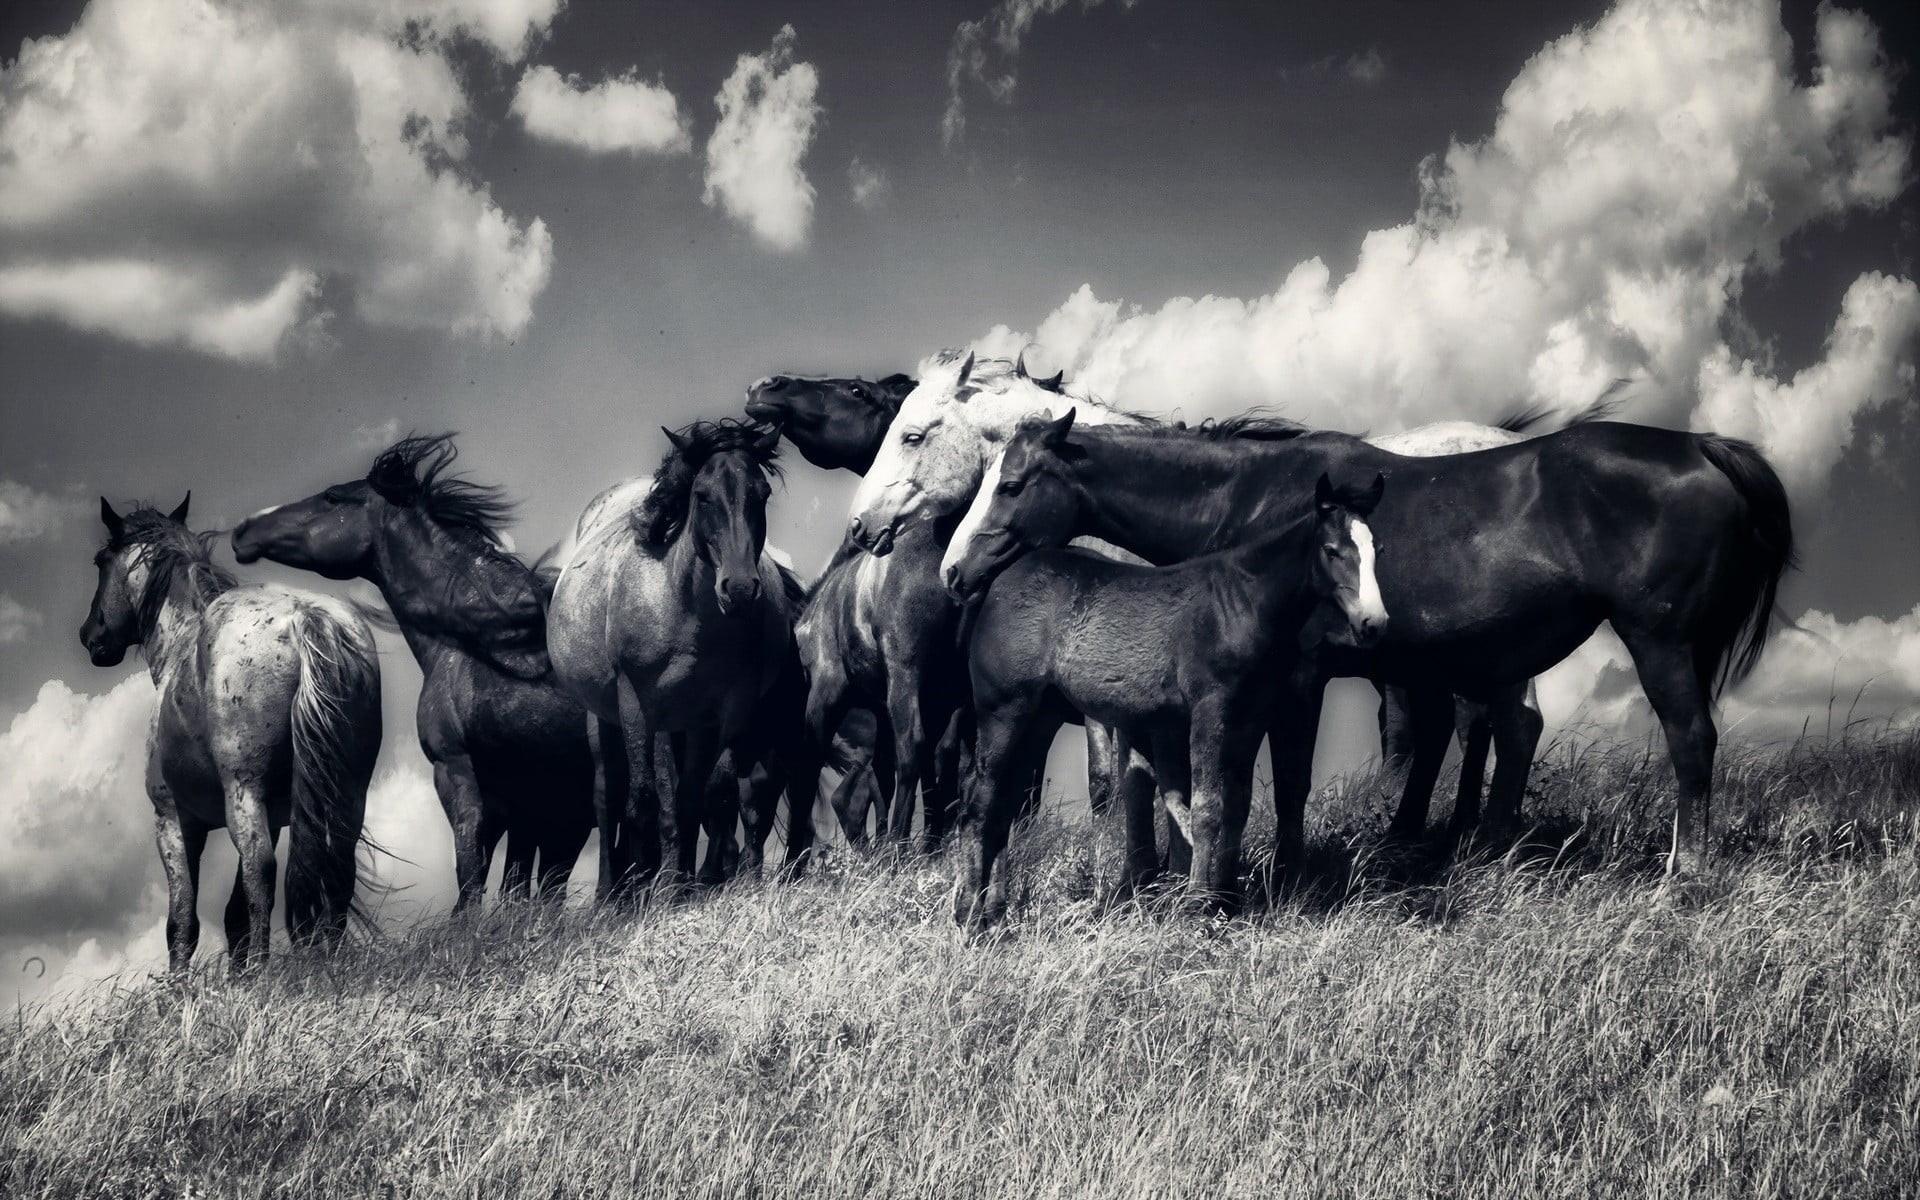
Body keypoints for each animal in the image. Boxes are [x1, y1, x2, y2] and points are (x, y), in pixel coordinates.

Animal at [83, 497, 382, 972]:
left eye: (100, 561)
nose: (90, 635)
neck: (179, 648)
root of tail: (306, 617)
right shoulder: (273, 816)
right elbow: (234, 914)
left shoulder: (174, 820)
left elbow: (182, 922)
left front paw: (179, 986)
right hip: (346, 792)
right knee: (337, 865)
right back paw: (331, 961)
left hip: (244, 791)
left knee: (262, 868)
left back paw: (262, 970)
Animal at [231, 435, 595, 911]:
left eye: (332, 497)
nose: (243, 530)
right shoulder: (536, 805)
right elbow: (523, 884)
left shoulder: (459, 774)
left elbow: (472, 876)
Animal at [548, 419, 815, 889]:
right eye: (702, 495)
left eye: (761, 494)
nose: (739, 588)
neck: (684, 611)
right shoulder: (640, 705)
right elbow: (645, 801)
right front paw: (648, 888)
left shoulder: (715, 715)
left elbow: (701, 798)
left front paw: (681, 888)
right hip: (604, 717)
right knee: (609, 796)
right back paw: (611, 891)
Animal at [944, 413, 1794, 874]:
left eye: (1011, 486)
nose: (954, 571)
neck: (1254, 505)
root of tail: (1702, 448)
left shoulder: (1296, 679)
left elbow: (1281, 782)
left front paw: (1281, 874)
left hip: (1661, 642)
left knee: (1688, 740)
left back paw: (1683, 873)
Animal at [951, 454, 1388, 929]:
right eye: (1332, 551)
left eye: (1377, 552)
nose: (1373, 623)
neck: (1242, 603)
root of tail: (997, 585)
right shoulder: (1210, 709)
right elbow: (1207, 806)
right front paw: (1197, 905)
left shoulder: (1251, 716)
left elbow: (1236, 805)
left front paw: (1227, 900)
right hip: (1003, 709)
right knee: (980, 802)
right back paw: (970, 914)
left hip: (1041, 715)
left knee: (1004, 801)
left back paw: (995, 911)